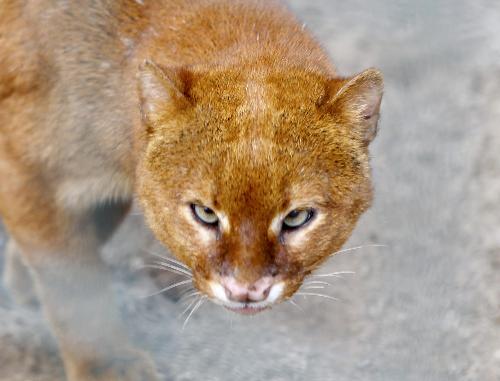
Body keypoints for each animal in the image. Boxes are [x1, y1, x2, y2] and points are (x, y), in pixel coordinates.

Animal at [0, 0, 382, 378]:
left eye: (297, 217)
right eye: (204, 214)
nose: (246, 291)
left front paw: (22, 274)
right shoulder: (23, 172)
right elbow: (74, 281)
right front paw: (107, 365)